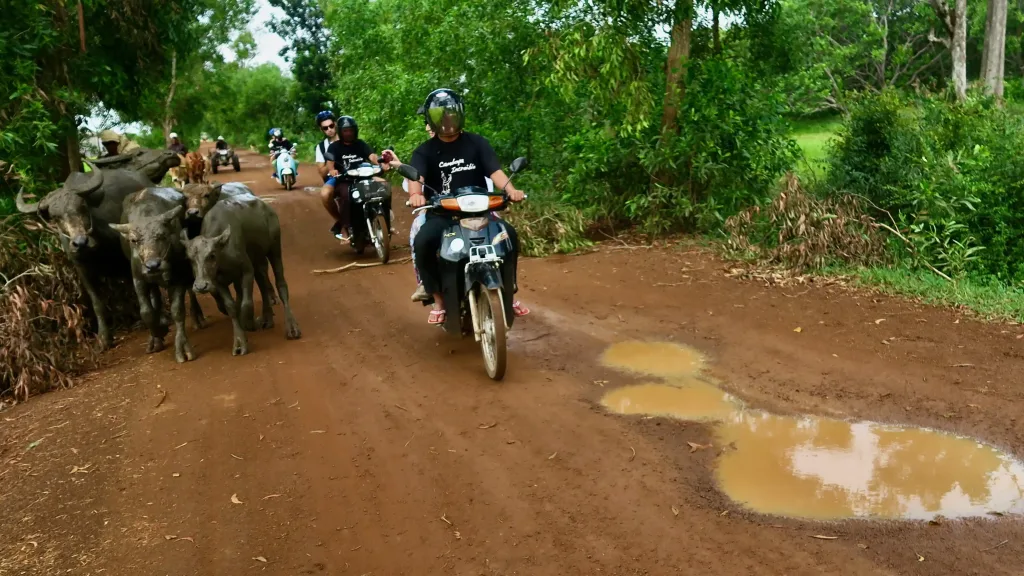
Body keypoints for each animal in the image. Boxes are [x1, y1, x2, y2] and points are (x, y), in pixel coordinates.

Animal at [109, 186, 202, 360]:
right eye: (134, 240)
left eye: (162, 235)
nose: (153, 266)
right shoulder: (138, 279)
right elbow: (146, 312)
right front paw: (159, 331)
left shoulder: (178, 278)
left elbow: (178, 311)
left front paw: (182, 347)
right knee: (155, 298)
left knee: (190, 290)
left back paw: (198, 317)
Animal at [181, 193, 301, 354]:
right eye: (190, 259)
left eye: (212, 255)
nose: (200, 286)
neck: (223, 255)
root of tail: (267, 208)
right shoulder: (218, 282)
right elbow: (231, 307)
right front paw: (239, 342)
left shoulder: (246, 271)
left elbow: (246, 303)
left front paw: (249, 323)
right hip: (258, 259)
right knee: (263, 283)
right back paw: (267, 319)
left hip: (275, 248)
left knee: (280, 283)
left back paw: (291, 327)